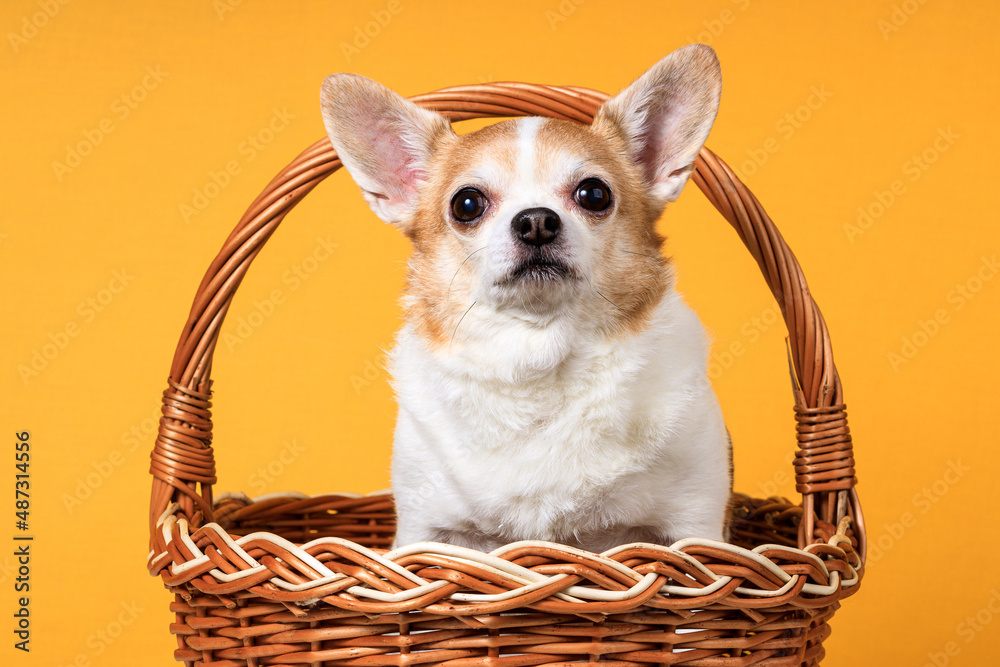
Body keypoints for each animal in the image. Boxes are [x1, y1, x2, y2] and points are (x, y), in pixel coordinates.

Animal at [324, 45, 732, 552]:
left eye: (594, 194)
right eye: (466, 204)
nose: (536, 220)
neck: (540, 352)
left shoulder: (695, 527)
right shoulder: (425, 532)